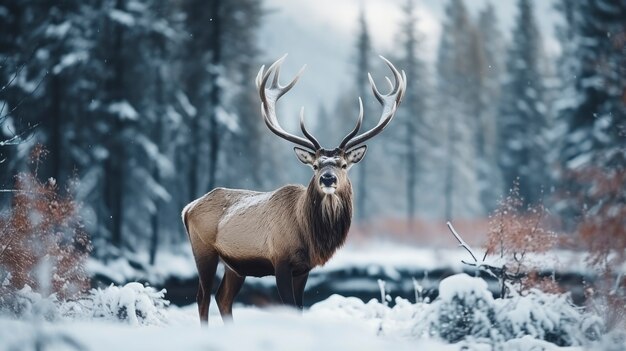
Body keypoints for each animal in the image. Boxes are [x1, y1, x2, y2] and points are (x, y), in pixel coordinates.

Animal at [180, 55, 404, 324]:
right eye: (316, 165)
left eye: (343, 164)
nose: (327, 178)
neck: (308, 233)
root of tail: (187, 208)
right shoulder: (281, 261)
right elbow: (289, 307)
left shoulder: (303, 268)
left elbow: (299, 308)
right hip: (203, 249)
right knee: (202, 296)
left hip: (235, 265)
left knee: (223, 298)